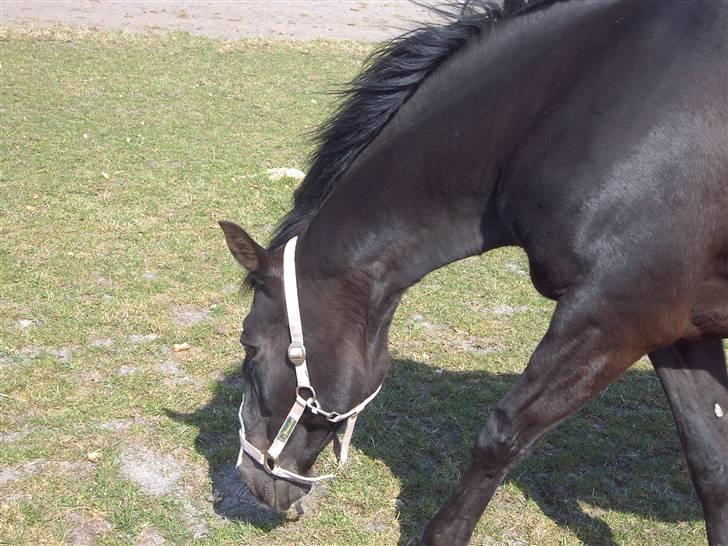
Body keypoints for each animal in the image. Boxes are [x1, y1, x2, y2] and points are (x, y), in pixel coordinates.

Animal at [218, 0, 728, 543]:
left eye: (250, 346)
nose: (248, 476)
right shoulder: (677, 328)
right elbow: (712, 462)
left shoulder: (612, 317)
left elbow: (500, 437)